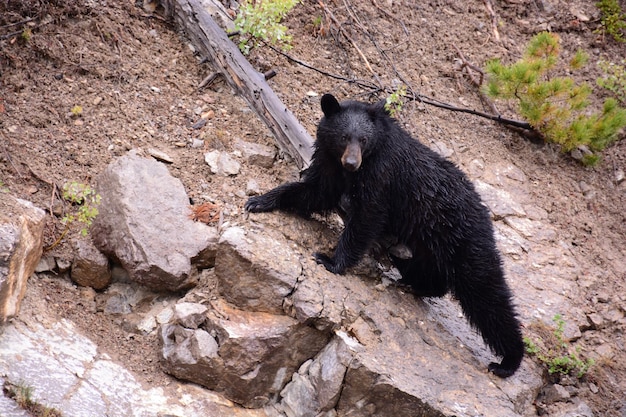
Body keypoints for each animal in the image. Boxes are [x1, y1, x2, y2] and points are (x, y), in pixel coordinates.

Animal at [244, 93, 520, 376]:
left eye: (363, 140)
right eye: (344, 137)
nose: (351, 163)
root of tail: (484, 211)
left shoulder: (382, 174)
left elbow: (367, 216)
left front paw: (331, 260)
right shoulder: (330, 162)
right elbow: (316, 190)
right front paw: (260, 201)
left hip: (464, 239)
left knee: (486, 291)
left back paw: (508, 361)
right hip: (422, 243)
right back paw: (416, 285)